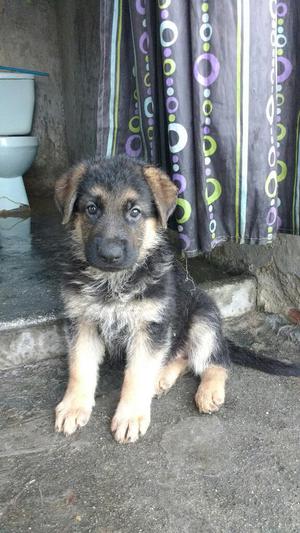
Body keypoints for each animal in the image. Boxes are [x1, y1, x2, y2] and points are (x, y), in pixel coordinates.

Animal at [54, 156, 300, 442]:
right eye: (92, 209)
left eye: (134, 212)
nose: (109, 255)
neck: (113, 283)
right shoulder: (82, 322)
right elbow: (80, 368)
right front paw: (73, 407)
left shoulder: (150, 327)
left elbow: (137, 374)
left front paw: (130, 416)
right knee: (181, 356)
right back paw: (161, 378)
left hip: (204, 319)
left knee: (216, 361)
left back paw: (208, 391)